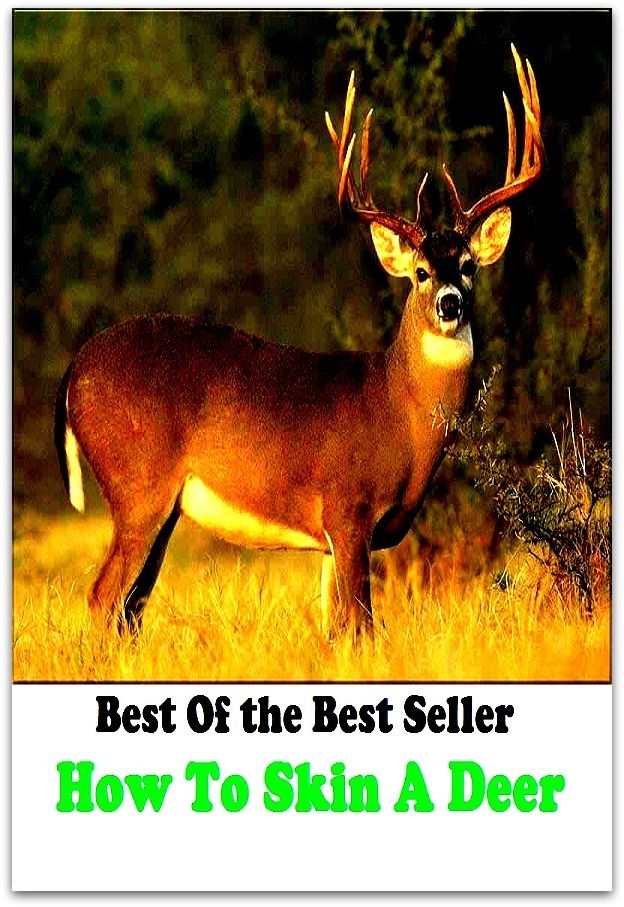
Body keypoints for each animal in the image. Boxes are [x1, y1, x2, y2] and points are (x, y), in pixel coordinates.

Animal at [55, 45, 543, 644]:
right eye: (421, 272)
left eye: (470, 266)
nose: (450, 303)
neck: (397, 410)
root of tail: (74, 369)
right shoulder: (348, 507)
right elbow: (363, 625)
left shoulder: (334, 540)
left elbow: (336, 628)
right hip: (137, 485)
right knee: (103, 597)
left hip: (162, 508)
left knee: (131, 606)